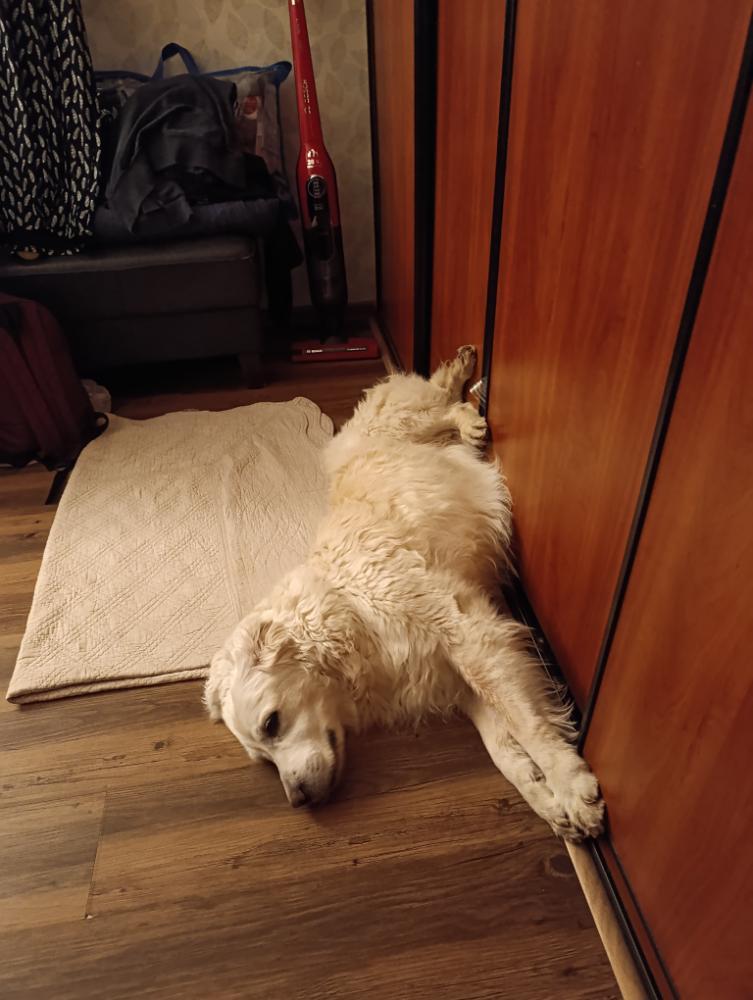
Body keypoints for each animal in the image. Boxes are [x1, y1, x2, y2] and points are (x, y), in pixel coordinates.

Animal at [204, 347, 604, 841]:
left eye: (272, 724)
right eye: (262, 758)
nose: (297, 801)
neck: (352, 610)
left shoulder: (468, 634)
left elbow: (526, 720)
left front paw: (569, 784)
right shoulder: (454, 674)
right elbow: (503, 748)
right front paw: (547, 799)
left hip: (408, 418)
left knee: (440, 397)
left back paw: (467, 393)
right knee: (440, 397)